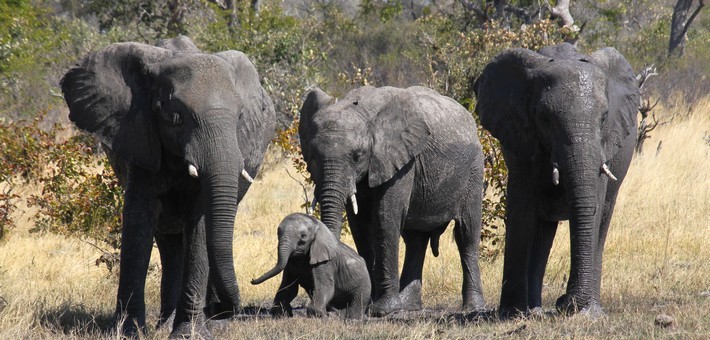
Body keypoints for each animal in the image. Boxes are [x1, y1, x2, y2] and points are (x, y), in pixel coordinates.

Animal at [59, 35, 276, 336]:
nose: (222, 309)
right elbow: (138, 220)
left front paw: (188, 334)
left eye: (240, 117)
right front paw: (129, 332)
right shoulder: (140, 138)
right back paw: (167, 323)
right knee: (168, 240)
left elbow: (200, 225)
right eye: (176, 118)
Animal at [300, 85, 490, 316]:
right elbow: (359, 225)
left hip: (474, 171)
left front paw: (382, 310)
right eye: (312, 156)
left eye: (357, 156)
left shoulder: (400, 161)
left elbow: (385, 218)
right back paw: (409, 305)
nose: (330, 308)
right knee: (416, 239)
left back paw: (473, 307)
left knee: (466, 234)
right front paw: (368, 304)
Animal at [476, 43, 644, 318]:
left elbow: (595, 207)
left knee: (602, 221)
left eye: (604, 117)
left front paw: (584, 313)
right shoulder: (521, 142)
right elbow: (521, 211)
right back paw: (533, 311)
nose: (562, 301)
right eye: (544, 118)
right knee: (542, 231)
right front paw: (511, 314)